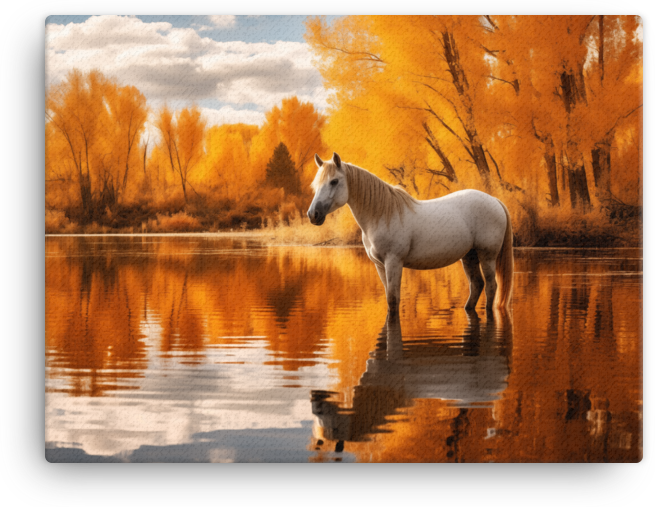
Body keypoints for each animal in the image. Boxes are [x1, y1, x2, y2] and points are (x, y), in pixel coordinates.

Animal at [307, 153, 514, 316]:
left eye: (334, 181)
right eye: (316, 184)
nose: (313, 215)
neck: (381, 215)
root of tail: (495, 200)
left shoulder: (393, 262)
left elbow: (393, 299)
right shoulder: (379, 265)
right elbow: (389, 297)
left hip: (487, 256)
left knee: (491, 286)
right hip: (469, 256)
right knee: (477, 285)